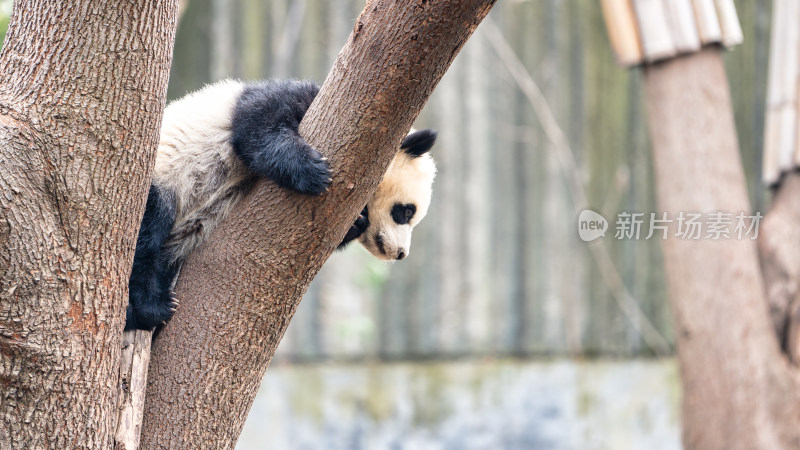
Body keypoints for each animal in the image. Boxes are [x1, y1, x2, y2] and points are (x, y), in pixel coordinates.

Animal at [126, 79, 438, 328]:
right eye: (405, 211)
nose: (400, 253)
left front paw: (356, 224)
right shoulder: (309, 102)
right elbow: (258, 124)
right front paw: (312, 171)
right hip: (161, 178)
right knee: (147, 232)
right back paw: (152, 306)